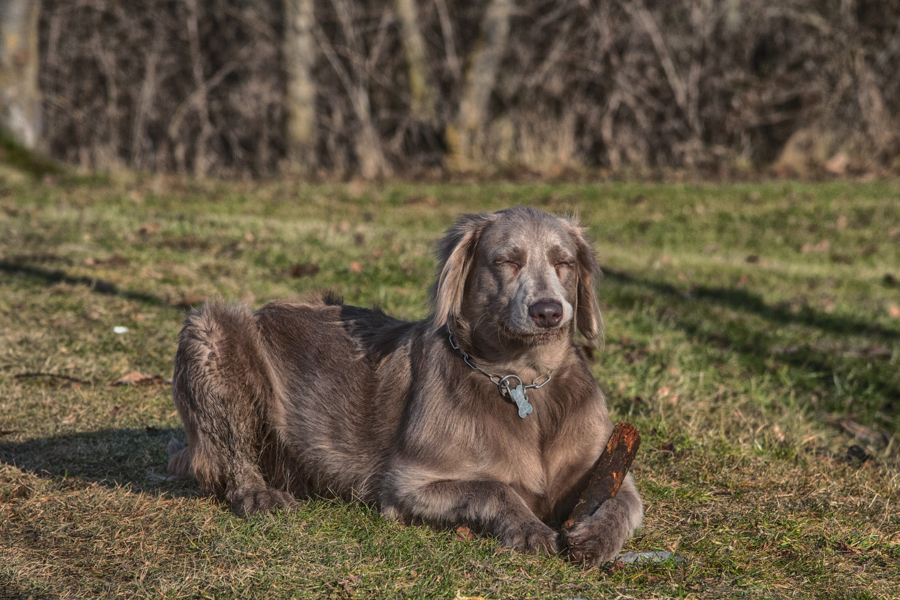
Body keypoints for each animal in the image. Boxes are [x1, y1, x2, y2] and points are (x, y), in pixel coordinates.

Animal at [167, 206, 640, 568]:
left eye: (565, 263)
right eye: (507, 261)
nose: (548, 311)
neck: (522, 379)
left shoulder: (607, 467)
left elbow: (623, 502)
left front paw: (595, 538)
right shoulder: (408, 485)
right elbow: (494, 487)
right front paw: (528, 528)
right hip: (209, 330)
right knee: (233, 457)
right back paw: (258, 494)